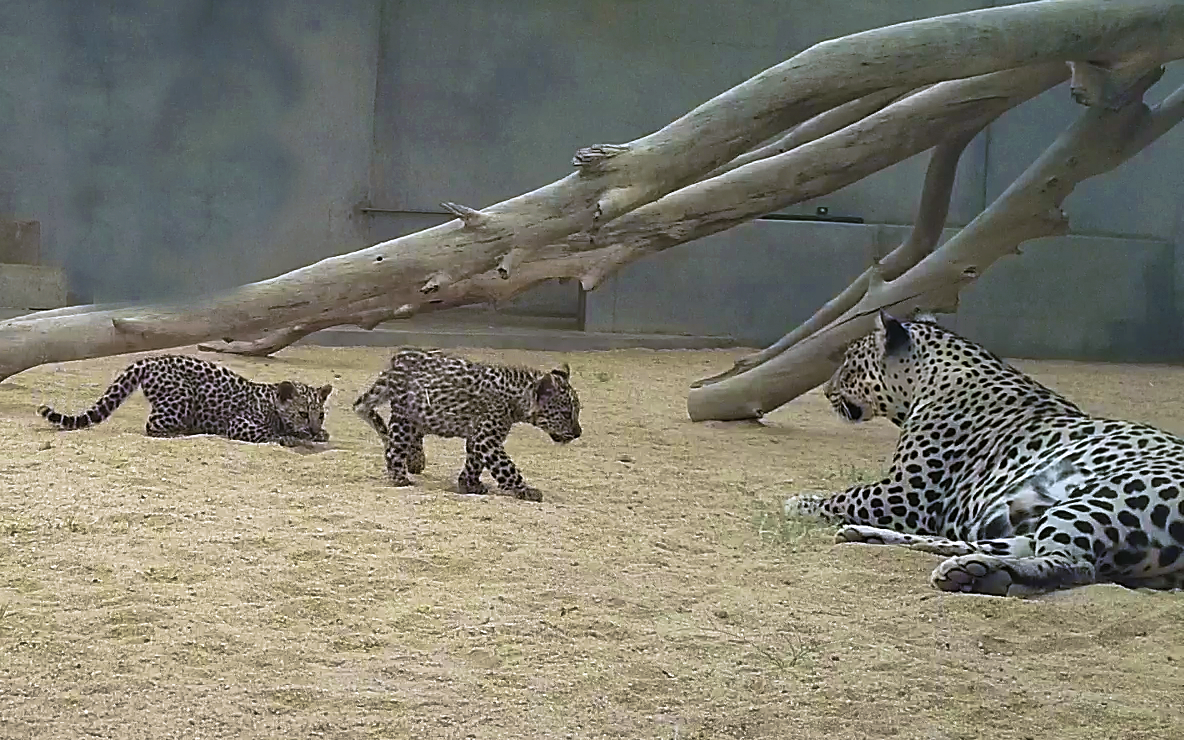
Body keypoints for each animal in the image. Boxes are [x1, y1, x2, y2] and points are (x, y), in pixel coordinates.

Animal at [37, 352, 333, 445]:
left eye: (320, 414)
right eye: (302, 413)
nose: (313, 428)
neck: (272, 403)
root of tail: (150, 360)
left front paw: (320, 434)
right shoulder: (240, 424)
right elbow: (268, 433)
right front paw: (290, 437)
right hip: (180, 400)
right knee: (152, 425)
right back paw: (180, 433)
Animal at [350, 348, 582, 502]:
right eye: (566, 413)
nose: (578, 433)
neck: (517, 398)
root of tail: (399, 357)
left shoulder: (479, 437)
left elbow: (474, 462)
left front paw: (469, 483)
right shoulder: (486, 438)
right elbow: (506, 466)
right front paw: (524, 489)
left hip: (417, 415)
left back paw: (414, 460)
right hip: (404, 416)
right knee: (394, 446)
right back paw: (399, 476)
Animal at [786, 310, 1184, 594]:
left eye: (850, 362)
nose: (825, 391)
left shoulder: (906, 494)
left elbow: (846, 495)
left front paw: (801, 503)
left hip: (1100, 498)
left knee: (1073, 564)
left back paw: (979, 576)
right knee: (993, 544)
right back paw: (870, 537)